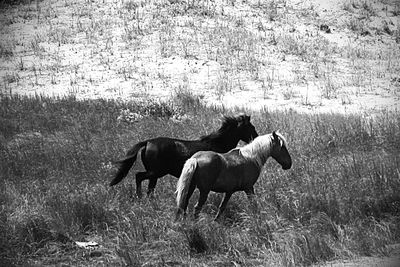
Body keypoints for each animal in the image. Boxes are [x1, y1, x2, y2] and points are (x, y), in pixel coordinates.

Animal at [110, 114, 260, 198]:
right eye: (251, 127)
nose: (257, 138)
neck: (216, 144)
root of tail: (148, 142)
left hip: (155, 174)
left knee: (149, 188)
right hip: (156, 172)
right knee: (138, 177)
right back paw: (139, 196)